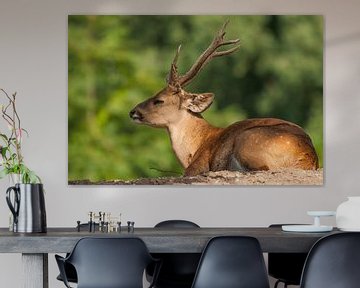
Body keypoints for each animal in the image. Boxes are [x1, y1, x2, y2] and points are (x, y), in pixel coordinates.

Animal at [129, 22, 318, 176]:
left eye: (159, 100)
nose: (132, 112)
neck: (195, 146)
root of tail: (309, 157)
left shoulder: (198, 165)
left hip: (249, 139)